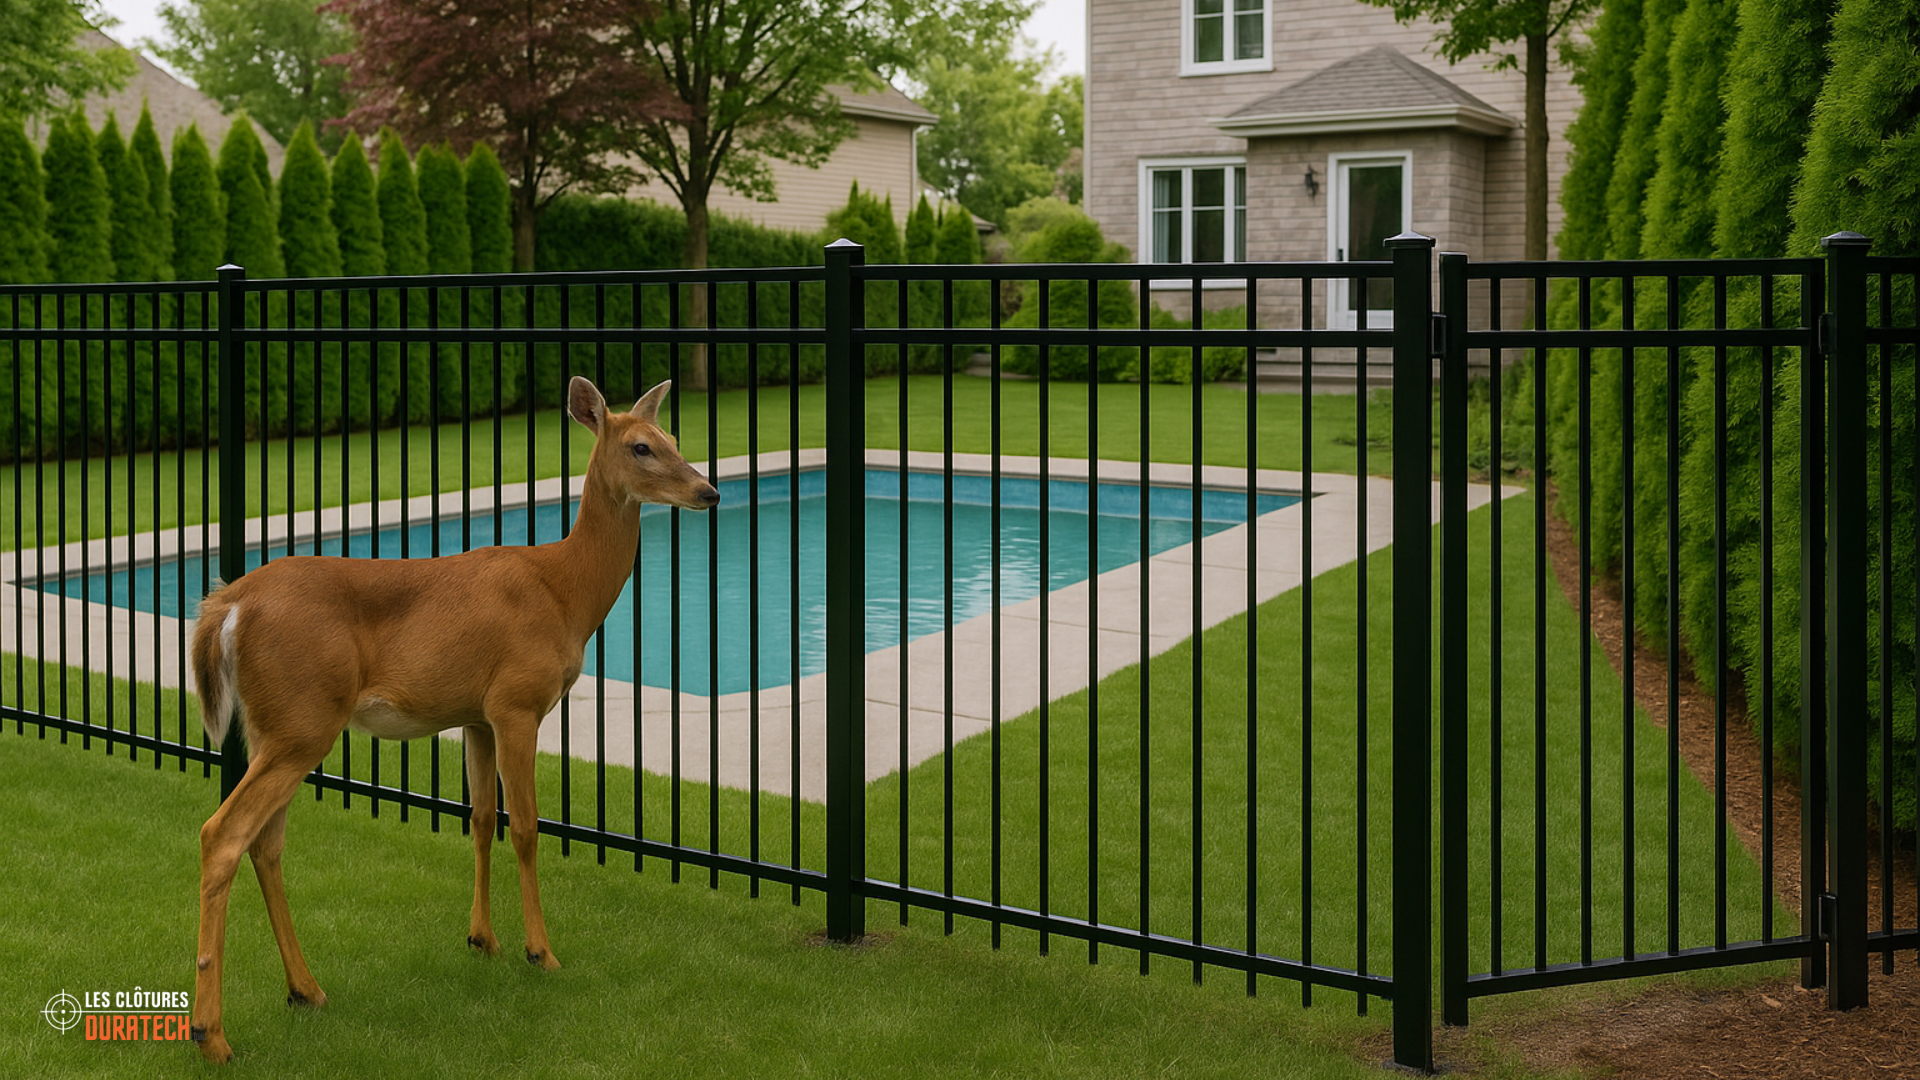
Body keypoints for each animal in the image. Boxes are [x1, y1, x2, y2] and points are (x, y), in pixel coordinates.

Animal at [186, 378, 718, 1063]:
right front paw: (540, 952)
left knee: (265, 842)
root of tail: (227, 604)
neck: (565, 592)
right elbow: (527, 828)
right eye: (641, 447)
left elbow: (483, 820)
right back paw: (213, 1035)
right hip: (303, 721)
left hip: (274, 727)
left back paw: (306, 991)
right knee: (223, 834)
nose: (707, 491)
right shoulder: (518, 702)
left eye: (673, 437)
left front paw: (482, 939)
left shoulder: (476, 716)